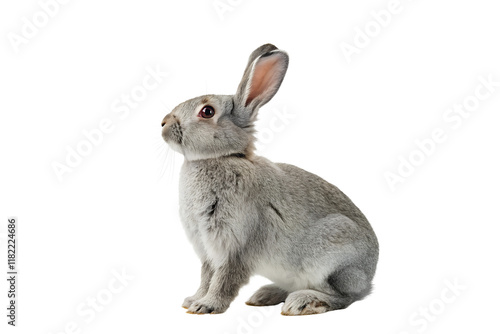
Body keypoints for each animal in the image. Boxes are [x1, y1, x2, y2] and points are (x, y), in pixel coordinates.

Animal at [162, 43, 376, 314]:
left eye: (207, 112)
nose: (163, 123)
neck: (222, 158)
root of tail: (369, 276)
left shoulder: (236, 246)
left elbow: (223, 279)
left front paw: (206, 306)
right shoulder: (208, 250)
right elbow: (206, 277)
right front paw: (193, 300)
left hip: (333, 257)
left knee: (344, 297)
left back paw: (303, 302)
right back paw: (265, 295)